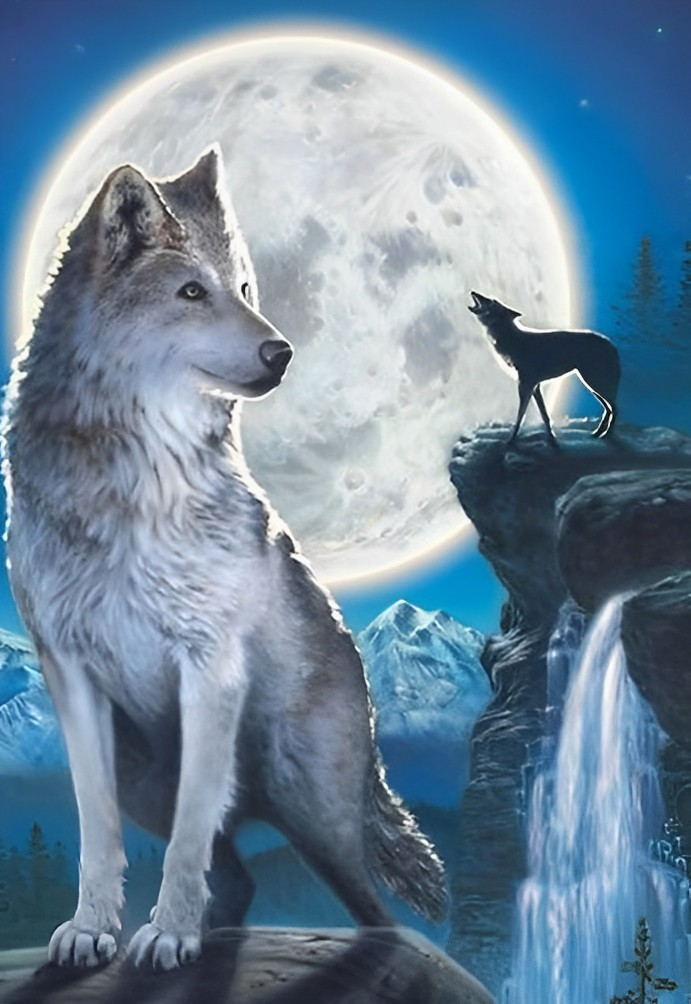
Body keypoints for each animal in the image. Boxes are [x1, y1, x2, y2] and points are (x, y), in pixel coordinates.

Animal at [1, 147, 446, 972]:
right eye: (189, 291)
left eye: (242, 289)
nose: (283, 352)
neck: (130, 480)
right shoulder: (68, 672)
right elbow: (96, 831)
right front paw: (92, 930)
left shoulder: (207, 665)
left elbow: (185, 842)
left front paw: (169, 933)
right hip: (151, 782)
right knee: (236, 873)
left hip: (314, 813)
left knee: (371, 908)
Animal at [468, 291, 620, 442]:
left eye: (492, 301)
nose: (474, 292)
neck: (511, 340)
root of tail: (611, 345)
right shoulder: (535, 386)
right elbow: (545, 416)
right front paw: (551, 438)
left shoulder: (526, 385)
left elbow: (520, 416)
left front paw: (512, 440)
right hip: (593, 386)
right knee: (609, 409)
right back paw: (598, 433)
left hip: (594, 384)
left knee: (614, 409)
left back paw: (606, 435)